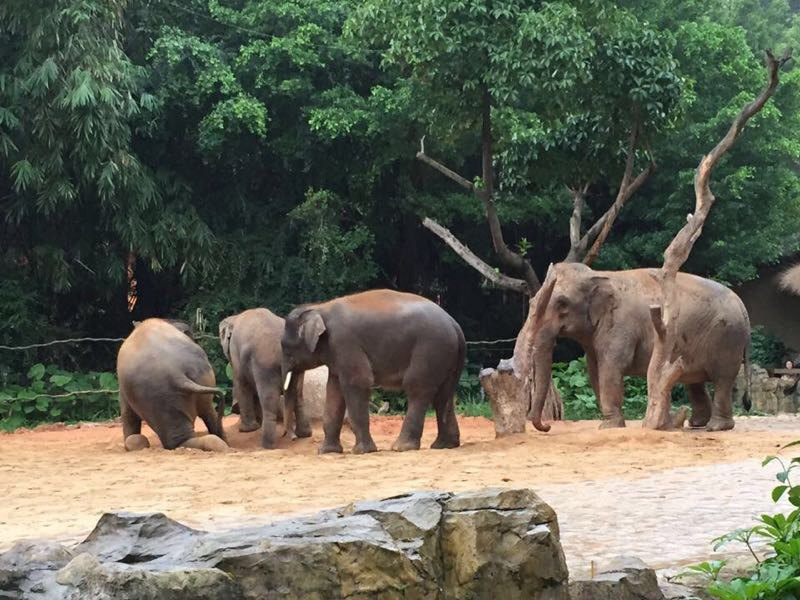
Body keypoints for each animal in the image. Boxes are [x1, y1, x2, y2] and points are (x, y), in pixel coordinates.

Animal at [219, 310, 312, 446]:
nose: (293, 438)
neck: (235, 318)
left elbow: (242, 383)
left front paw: (247, 430)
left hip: (265, 362)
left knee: (269, 400)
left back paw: (267, 444)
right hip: (298, 362)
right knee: (298, 395)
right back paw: (304, 434)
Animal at [282, 290, 466, 454]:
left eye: (287, 348)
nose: (291, 437)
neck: (320, 307)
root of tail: (455, 324)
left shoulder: (344, 342)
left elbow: (358, 382)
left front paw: (362, 451)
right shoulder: (336, 354)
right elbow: (334, 391)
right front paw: (326, 452)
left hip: (429, 349)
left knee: (417, 389)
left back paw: (401, 447)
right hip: (447, 356)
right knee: (443, 396)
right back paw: (444, 445)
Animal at [512, 262, 752, 432]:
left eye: (562, 303)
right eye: (532, 303)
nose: (547, 426)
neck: (598, 275)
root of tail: (743, 307)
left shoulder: (620, 325)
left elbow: (610, 368)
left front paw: (608, 426)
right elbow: (594, 371)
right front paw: (610, 423)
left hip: (727, 339)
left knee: (722, 380)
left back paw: (716, 427)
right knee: (694, 381)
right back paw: (696, 424)